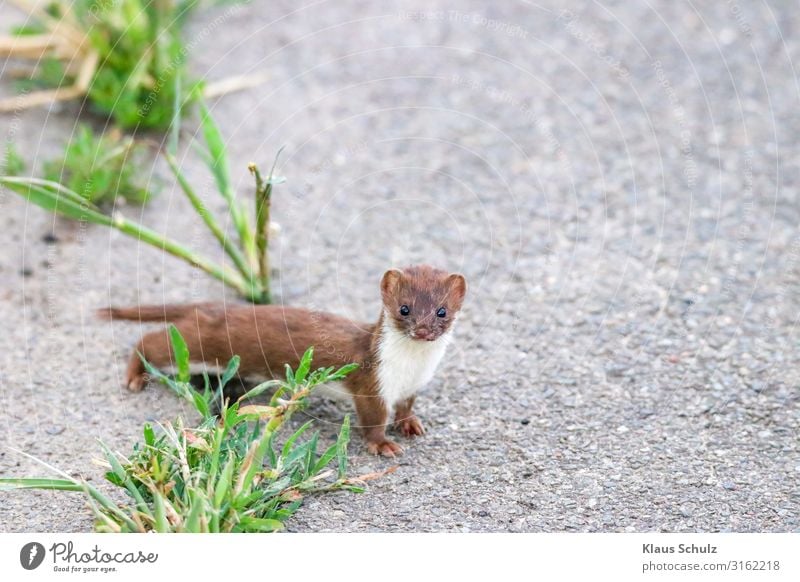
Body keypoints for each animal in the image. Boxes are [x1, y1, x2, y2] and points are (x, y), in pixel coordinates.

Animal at [103, 266, 472, 458]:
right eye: (404, 308)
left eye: (442, 311)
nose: (423, 329)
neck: (411, 369)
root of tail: (213, 307)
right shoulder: (371, 385)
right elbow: (373, 419)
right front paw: (383, 445)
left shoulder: (412, 386)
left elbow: (407, 406)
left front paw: (411, 425)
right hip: (196, 348)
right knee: (150, 342)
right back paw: (135, 376)